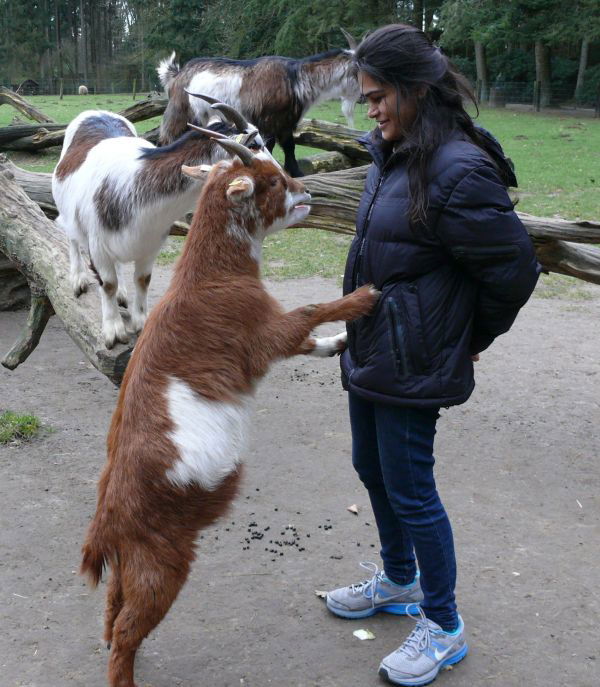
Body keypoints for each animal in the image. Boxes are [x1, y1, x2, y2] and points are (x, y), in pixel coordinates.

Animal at [52, 104, 273, 349]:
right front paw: (113, 331)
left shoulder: (150, 245)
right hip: (69, 211)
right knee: (71, 236)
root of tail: (97, 111)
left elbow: (142, 280)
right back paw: (78, 279)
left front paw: (141, 322)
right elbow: (107, 284)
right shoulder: (98, 245)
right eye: (254, 145)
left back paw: (121, 293)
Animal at [80, 137, 378, 687]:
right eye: (273, 180)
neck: (210, 275)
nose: (307, 194)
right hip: (162, 559)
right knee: (129, 626)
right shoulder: (260, 335)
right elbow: (305, 316)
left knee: (113, 609)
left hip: (132, 560)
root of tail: (107, 520)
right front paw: (363, 298)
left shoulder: (266, 338)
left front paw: (338, 342)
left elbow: (307, 340)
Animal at [157, 42, 360, 177]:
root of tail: (176, 75)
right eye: (359, 69)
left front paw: (295, 172)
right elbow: (269, 145)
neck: (295, 78)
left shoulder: (285, 122)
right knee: (167, 140)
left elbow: (289, 146)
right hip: (180, 115)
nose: (364, 97)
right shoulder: (268, 121)